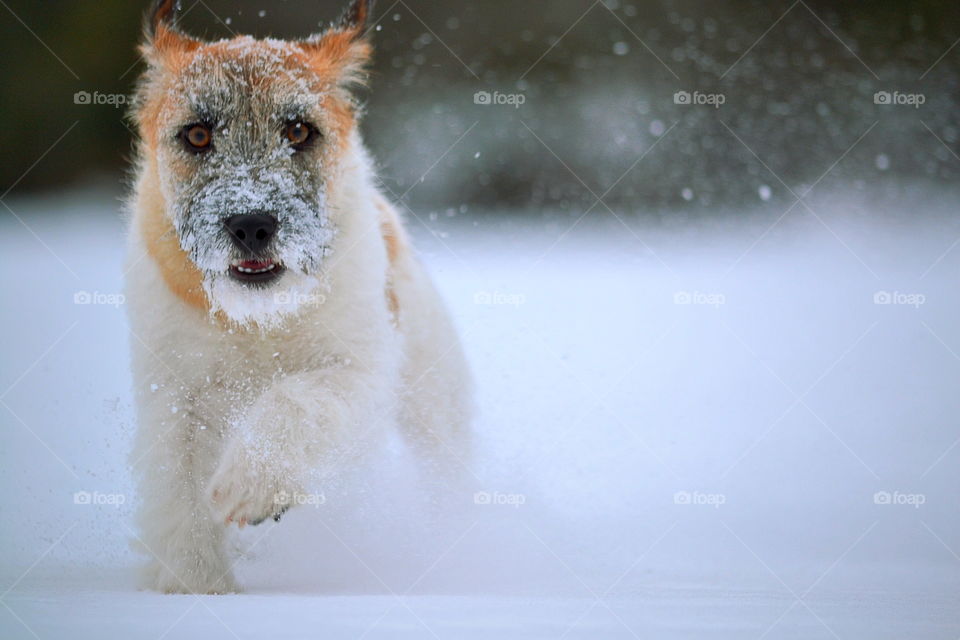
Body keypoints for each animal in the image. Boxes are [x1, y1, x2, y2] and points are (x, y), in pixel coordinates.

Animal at [127, 0, 472, 596]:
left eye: (298, 130)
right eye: (197, 135)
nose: (251, 225)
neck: (258, 319)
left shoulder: (360, 372)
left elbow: (296, 399)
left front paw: (252, 483)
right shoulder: (174, 397)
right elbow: (180, 496)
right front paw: (198, 589)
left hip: (436, 407)